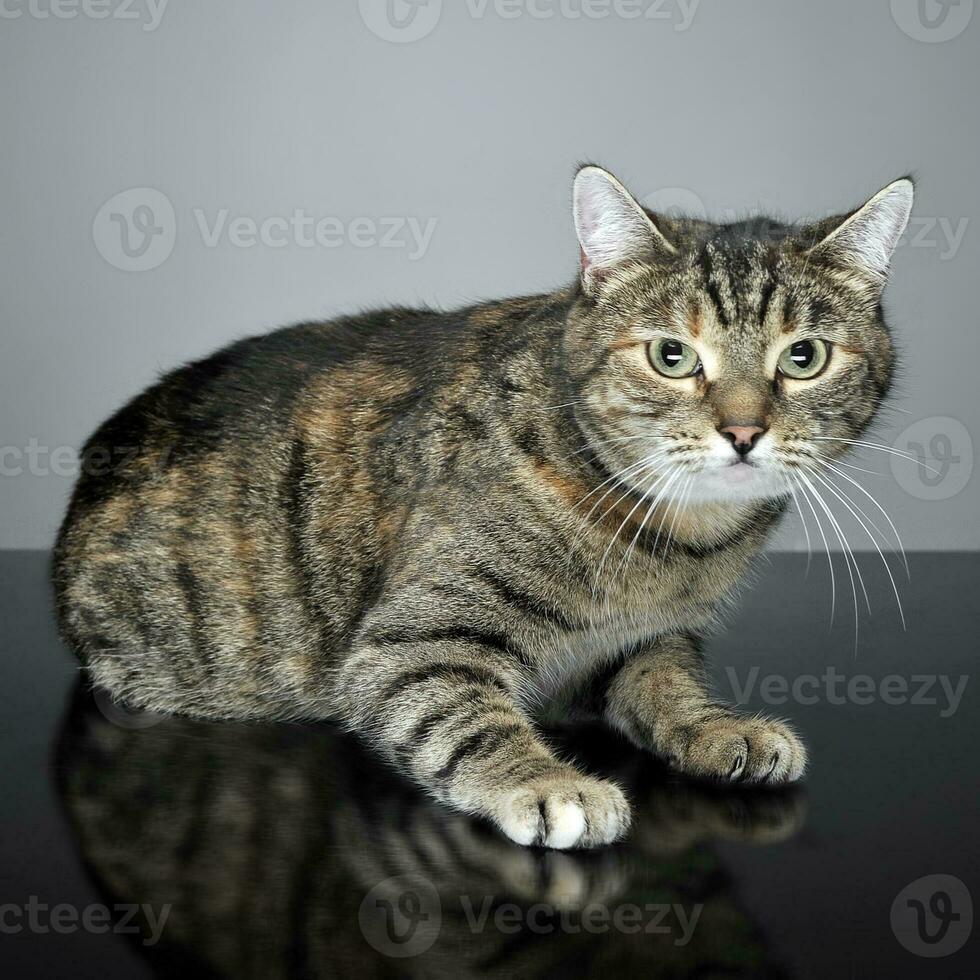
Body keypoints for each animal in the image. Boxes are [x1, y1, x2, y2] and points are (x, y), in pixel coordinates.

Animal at [51, 165, 912, 848]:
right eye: (672, 356)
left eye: (803, 358)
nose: (742, 431)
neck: (675, 546)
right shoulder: (410, 645)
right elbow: (468, 721)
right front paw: (548, 783)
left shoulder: (648, 641)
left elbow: (666, 686)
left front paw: (716, 727)